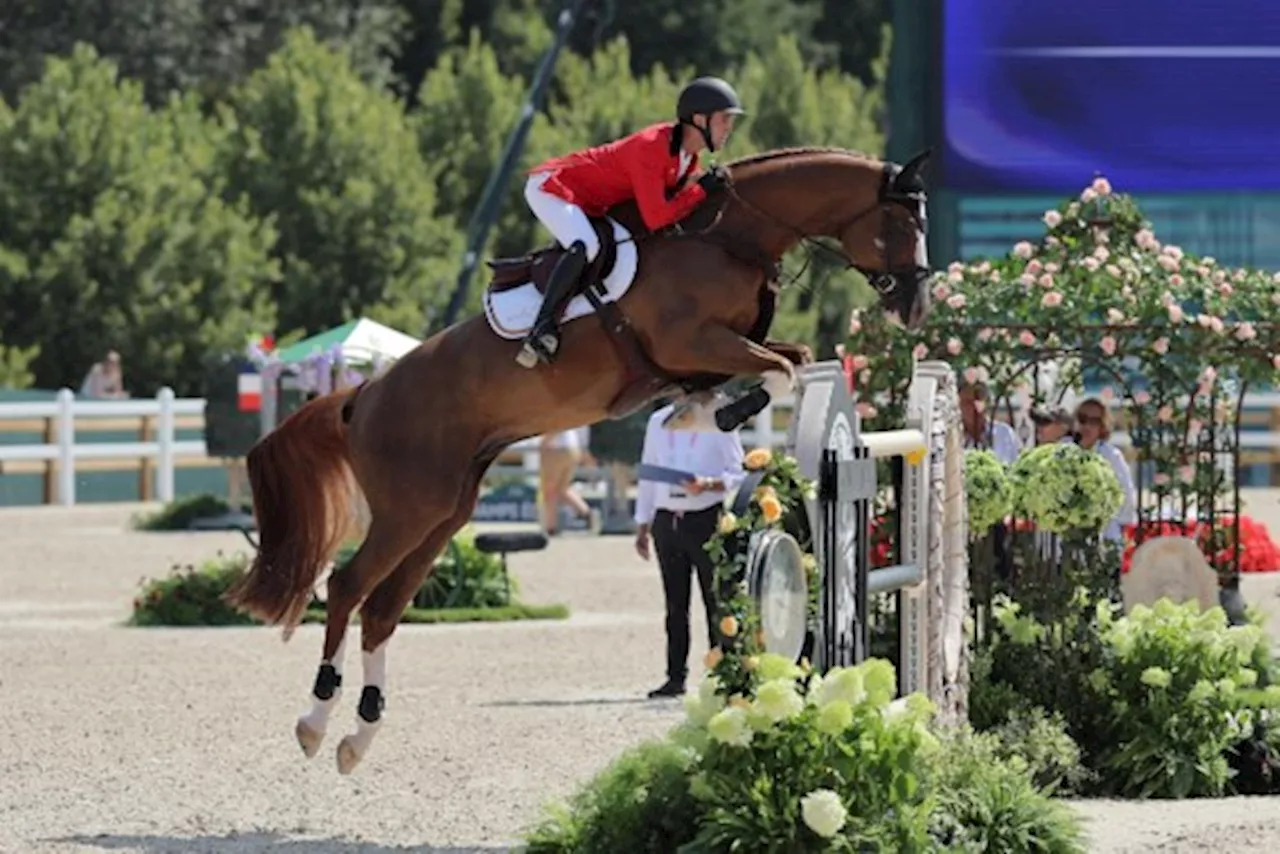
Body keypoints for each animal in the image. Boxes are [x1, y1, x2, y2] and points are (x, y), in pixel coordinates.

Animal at [225, 142, 936, 773]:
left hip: (442, 512)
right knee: (348, 588)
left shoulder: (714, 351)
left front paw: (721, 412)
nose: (915, 309)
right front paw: (730, 413)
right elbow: (781, 369)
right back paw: (315, 723)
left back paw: (358, 738)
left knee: (381, 608)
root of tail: (364, 395)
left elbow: (790, 359)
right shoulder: (693, 341)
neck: (729, 238)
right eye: (903, 225)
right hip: (409, 509)